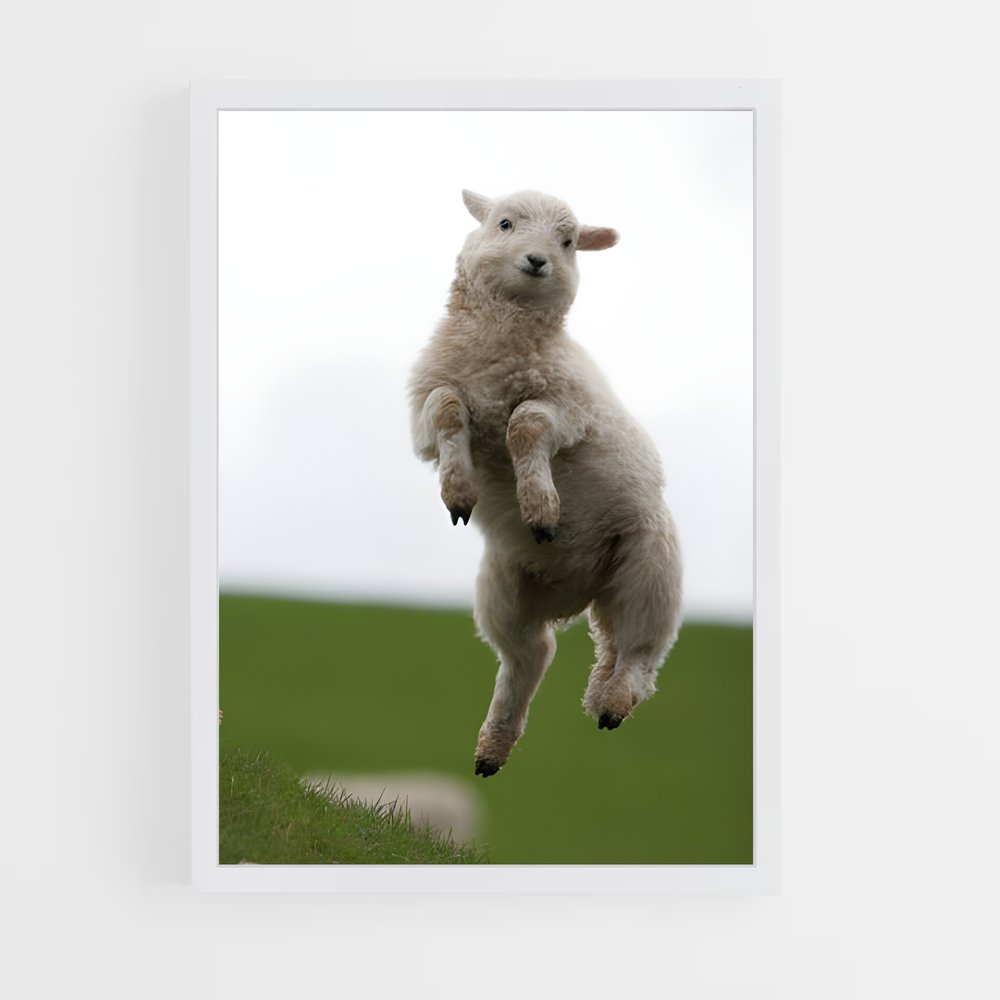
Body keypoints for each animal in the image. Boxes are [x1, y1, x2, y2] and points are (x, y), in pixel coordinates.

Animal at [408, 189, 682, 777]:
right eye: (504, 224)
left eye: (569, 241)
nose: (538, 261)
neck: (499, 346)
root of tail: (576, 593)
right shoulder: (425, 415)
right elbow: (446, 409)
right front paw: (459, 492)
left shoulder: (572, 412)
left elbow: (526, 423)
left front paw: (540, 505)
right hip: (504, 591)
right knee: (529, 656)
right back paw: (494, 747)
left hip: (650, 567)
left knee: (641, 651)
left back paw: (613, 701)